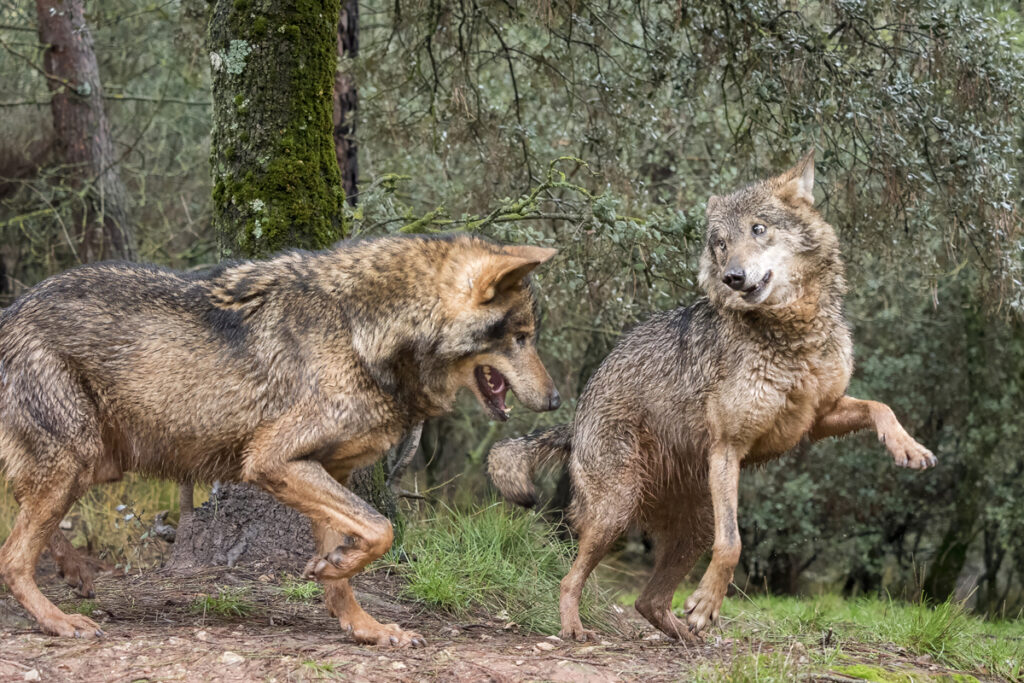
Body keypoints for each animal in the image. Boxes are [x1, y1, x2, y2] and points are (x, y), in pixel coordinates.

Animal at [0, 233, 560, 645]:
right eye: (522, 338)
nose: (556, 401)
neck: (363, 332)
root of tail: (11, 310)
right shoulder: (272, 461)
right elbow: (382, 530)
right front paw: (339, 572)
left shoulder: (327, 470)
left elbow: (352, 563)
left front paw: (363, 624)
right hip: (75, 461)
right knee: (13, 557)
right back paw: (58, 620)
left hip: (89, 465)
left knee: (28, 531)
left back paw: (76, 573)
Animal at [488, 151, 936, 642]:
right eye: (720, 243)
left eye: (758, 229)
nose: (733, 277)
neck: (792, 336)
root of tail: (576, 419)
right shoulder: (727, 447)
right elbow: (734, 544)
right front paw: (706, 604)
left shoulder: (816, 420)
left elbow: (881, 406)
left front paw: (909, 448)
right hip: (618, 512)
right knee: (572, 579)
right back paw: (575, 629)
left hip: (693, 526)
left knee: (648, 600)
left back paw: (689, 639)